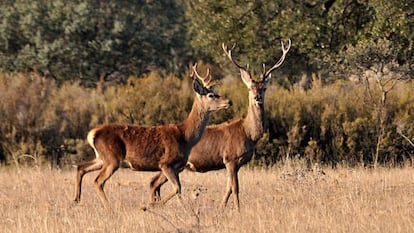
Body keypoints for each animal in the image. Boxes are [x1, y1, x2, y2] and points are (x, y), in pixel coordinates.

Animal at [72, 64, 231, 209]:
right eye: (211, 95)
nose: (229, 101)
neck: (185, 136)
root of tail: (92, 134)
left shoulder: (176, 167)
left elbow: (169, 188)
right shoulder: (166, 163)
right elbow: (176, 188)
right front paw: (153, 205)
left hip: (101, 157)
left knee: (81, 167)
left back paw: (76, 200)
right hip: (112, 158)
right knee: (97, 181)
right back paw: (108, 206)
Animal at [150, 39, 292, 209]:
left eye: (264, 88)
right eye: (250, 88)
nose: (257, 97)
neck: (248, 133)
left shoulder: (235, 164)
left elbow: (228, 188)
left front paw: (222, 207)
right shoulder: (230, 158)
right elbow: (235, 188)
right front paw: (238, 210)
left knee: (154, 183)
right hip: (172, 163)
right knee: (154, 183)